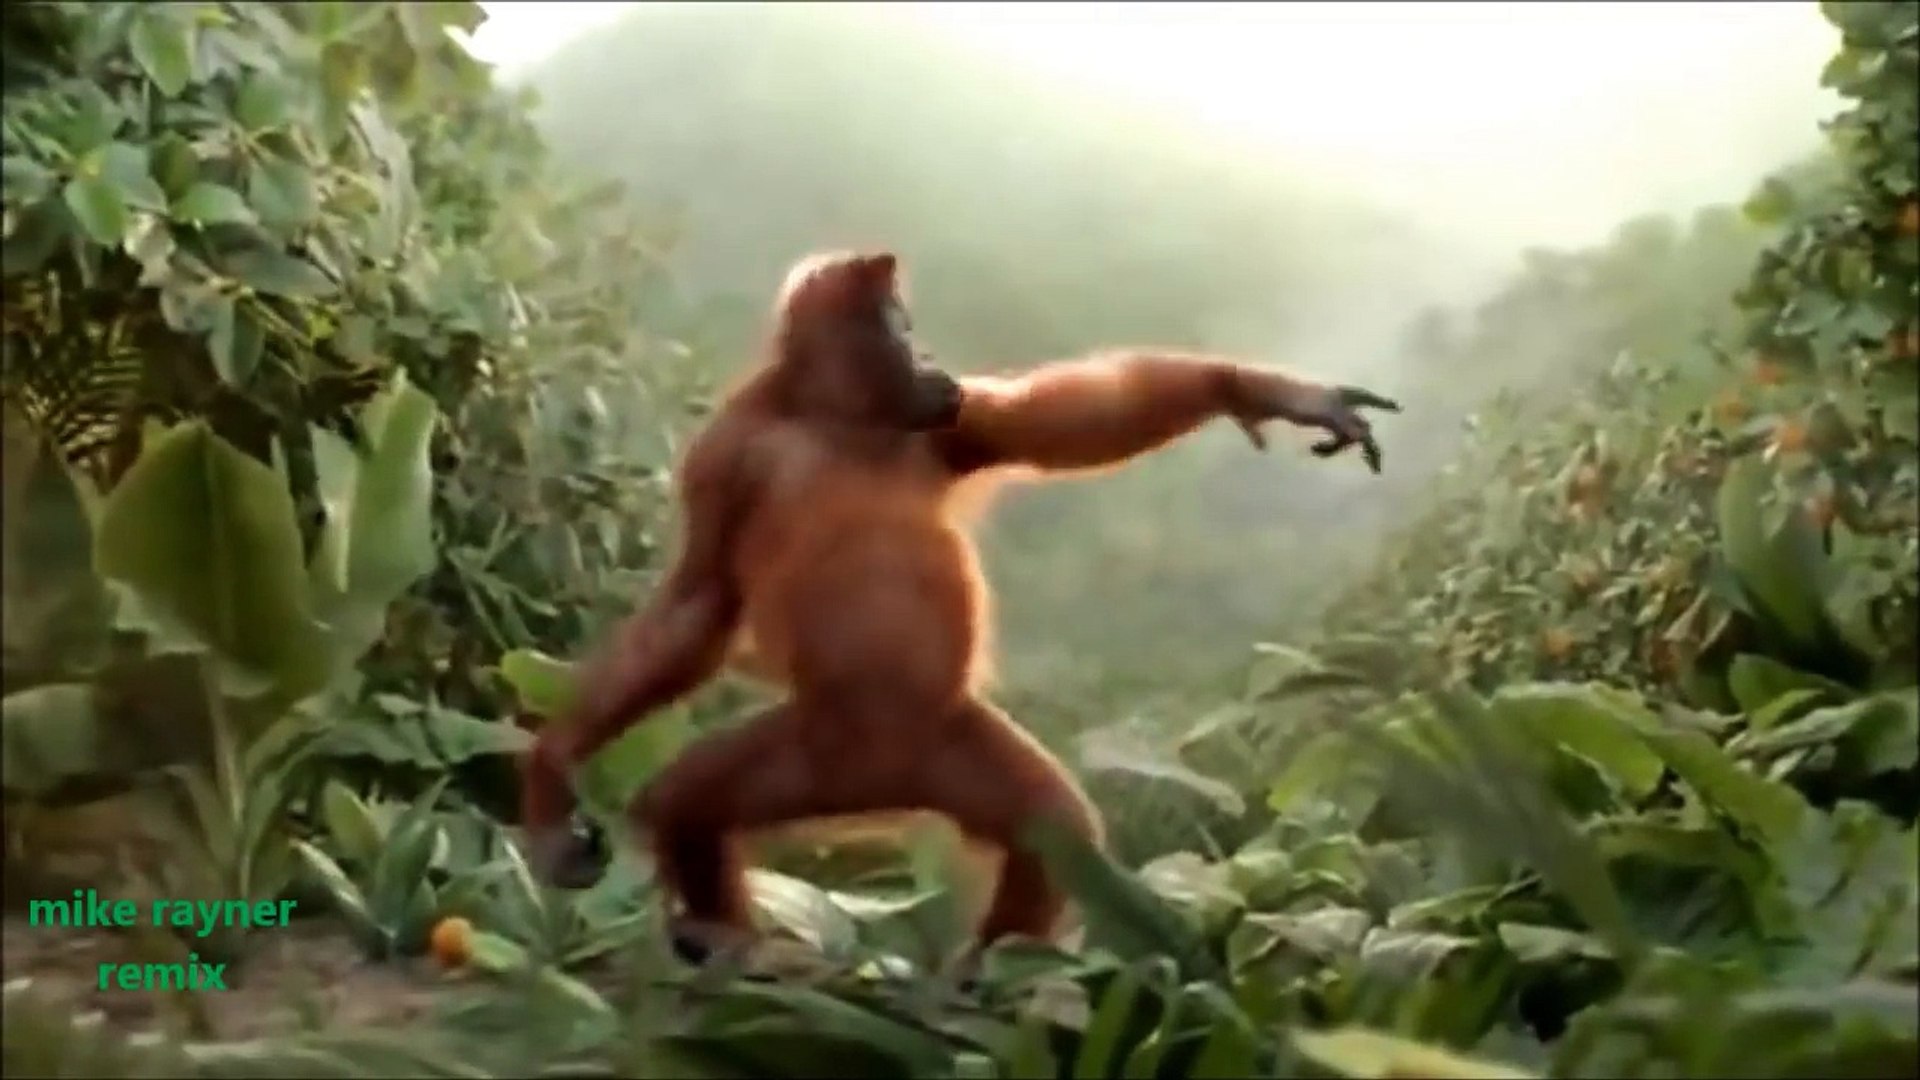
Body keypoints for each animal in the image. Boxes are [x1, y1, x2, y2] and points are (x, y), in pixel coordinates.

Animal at [518, 249, 1400, 967]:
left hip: (940, 744)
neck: (834, 419)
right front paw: (552, 770)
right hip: (814, 749)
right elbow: (698, 603)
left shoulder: (952, 421)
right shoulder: (726, 455)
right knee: (687, 805)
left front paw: (1261, 391)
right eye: (899, 327)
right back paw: (728, 946)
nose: (929, 354)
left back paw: (993, 973)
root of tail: (876, 785)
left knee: (1052, 832)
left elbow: (1065, 423)